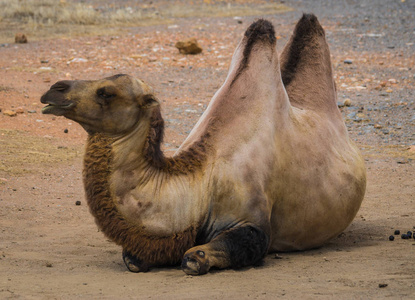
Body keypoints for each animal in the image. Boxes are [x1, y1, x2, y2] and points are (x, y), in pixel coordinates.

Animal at [40, 14, 368, 276]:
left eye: (106, 92)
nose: (53, 90)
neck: (202, 181)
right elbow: (133, 257)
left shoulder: (253, 219)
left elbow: (197, 257)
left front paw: (199, 257)